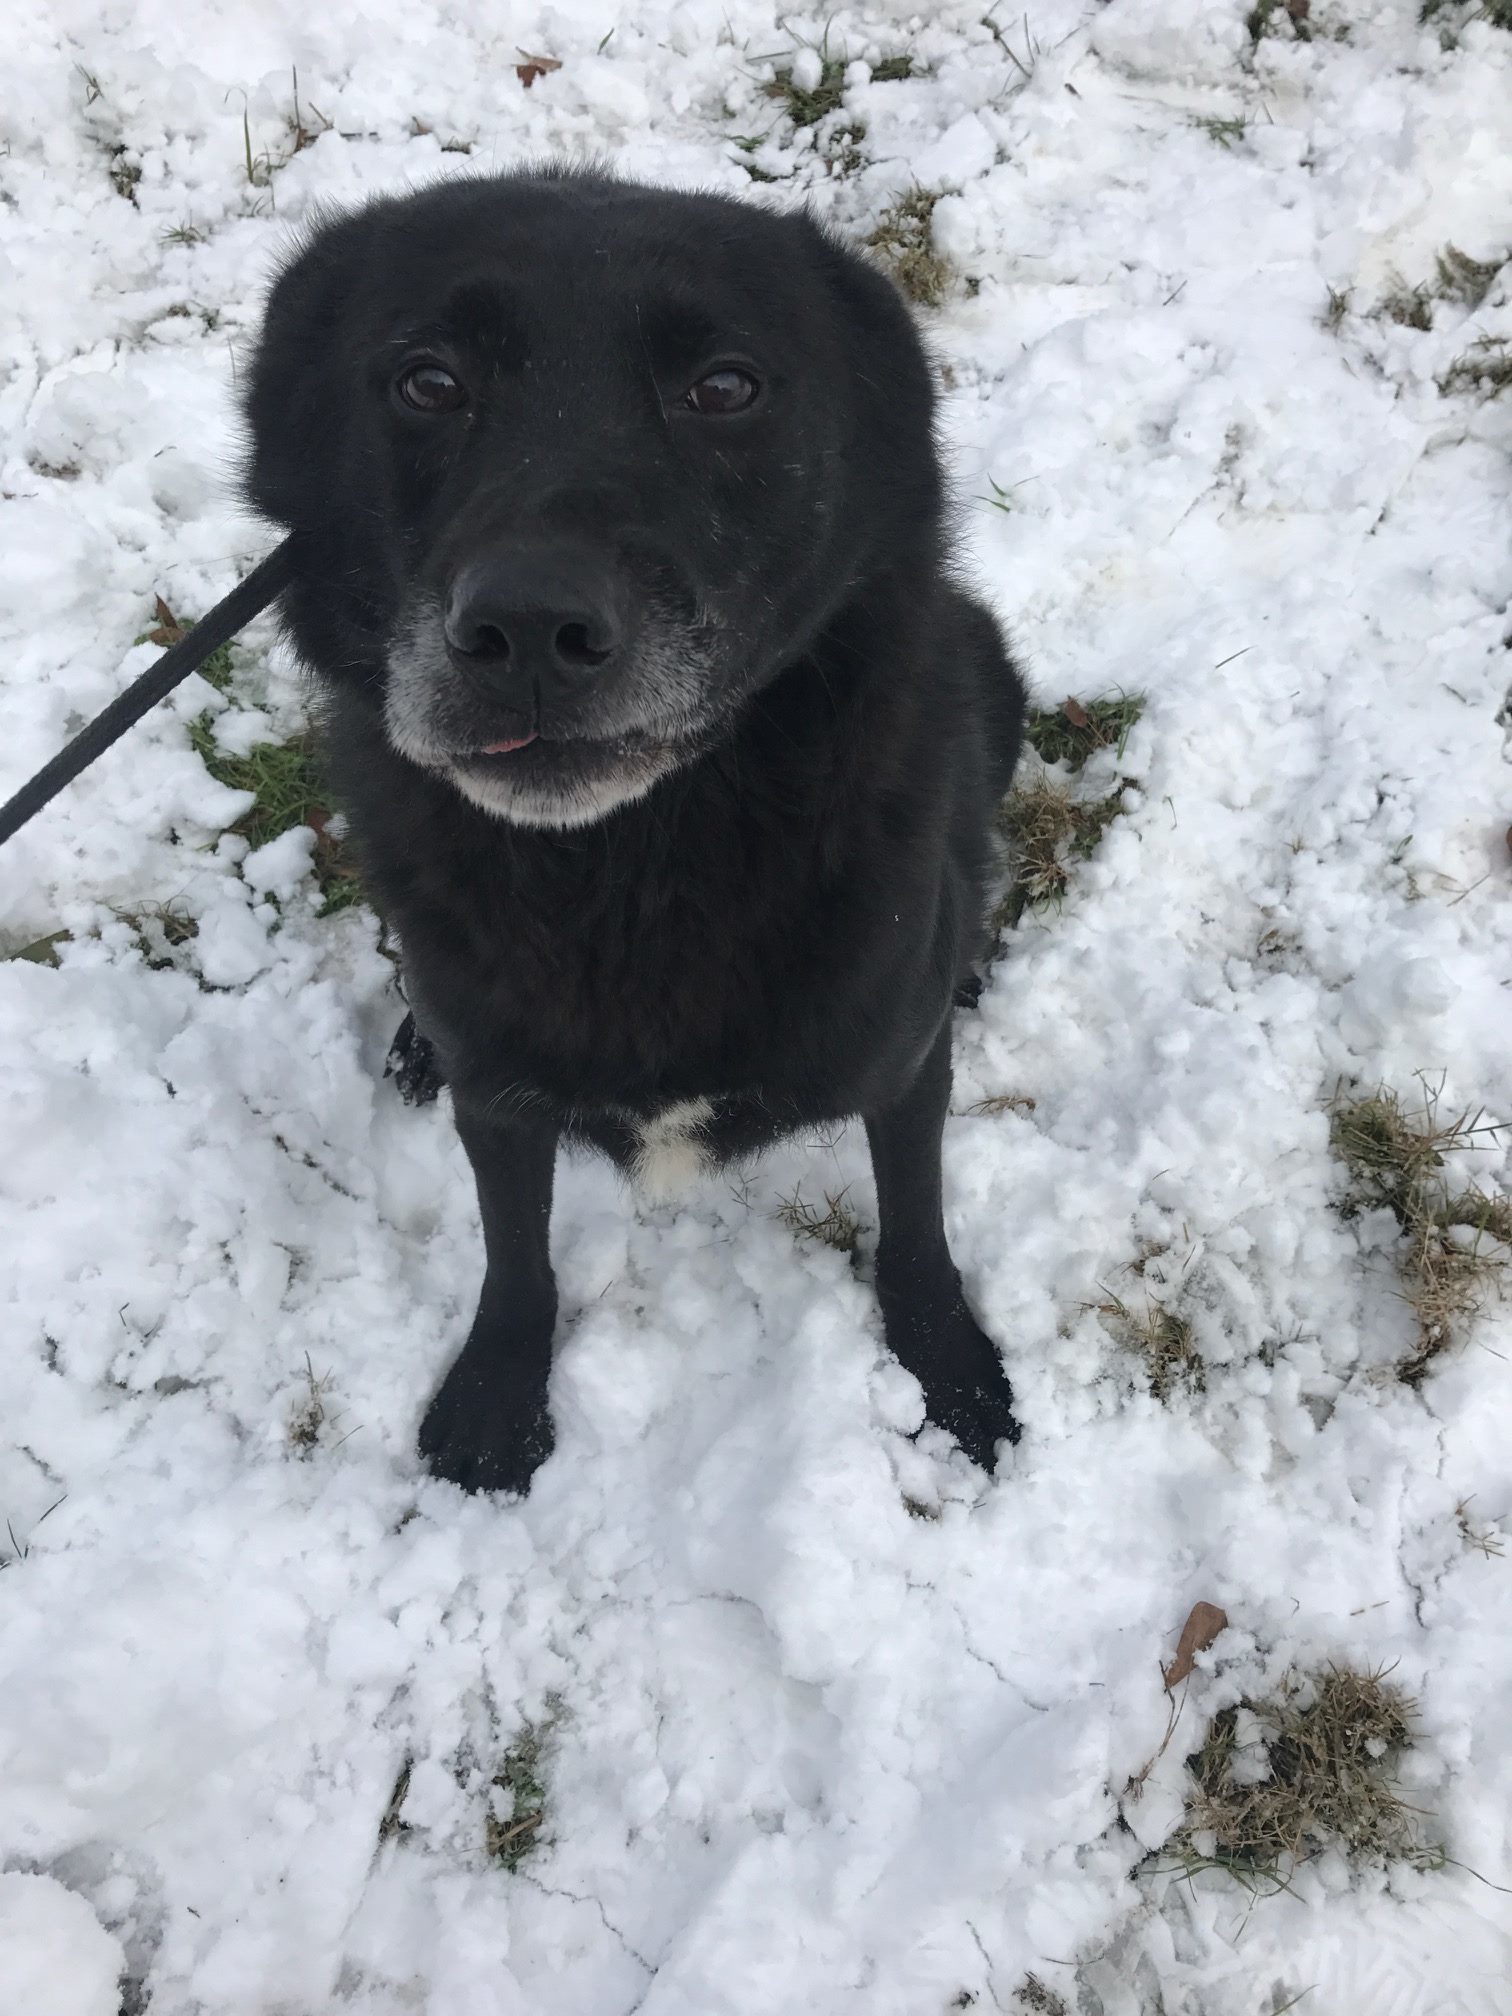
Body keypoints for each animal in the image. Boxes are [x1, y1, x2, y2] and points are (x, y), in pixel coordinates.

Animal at [248, 169, 1032, 1499]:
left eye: (724, 386)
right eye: (428, 381)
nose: (526, 628)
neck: (625, 872)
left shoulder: (901, 1069)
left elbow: (915, 1229)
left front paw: (951, 1375)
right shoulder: (502, 1100)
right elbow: (515, 1255)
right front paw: (496, 1396)